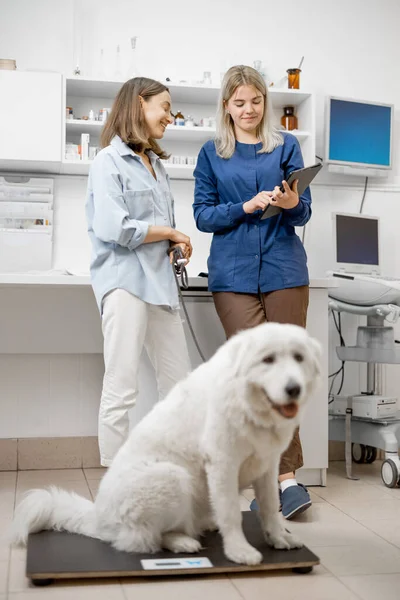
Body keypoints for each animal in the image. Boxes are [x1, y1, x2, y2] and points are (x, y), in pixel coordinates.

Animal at [10, 322, 322, 564]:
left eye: (298, 358)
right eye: (268, 360)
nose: (293, 389)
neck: (250, 406)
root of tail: (98, 515)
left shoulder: (268, 466)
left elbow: (269, 508)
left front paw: (278, 538)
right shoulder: (222, 465)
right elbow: (232, 513)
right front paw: (239, 551)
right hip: (172, 477)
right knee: (143, 539)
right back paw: (183, 542)